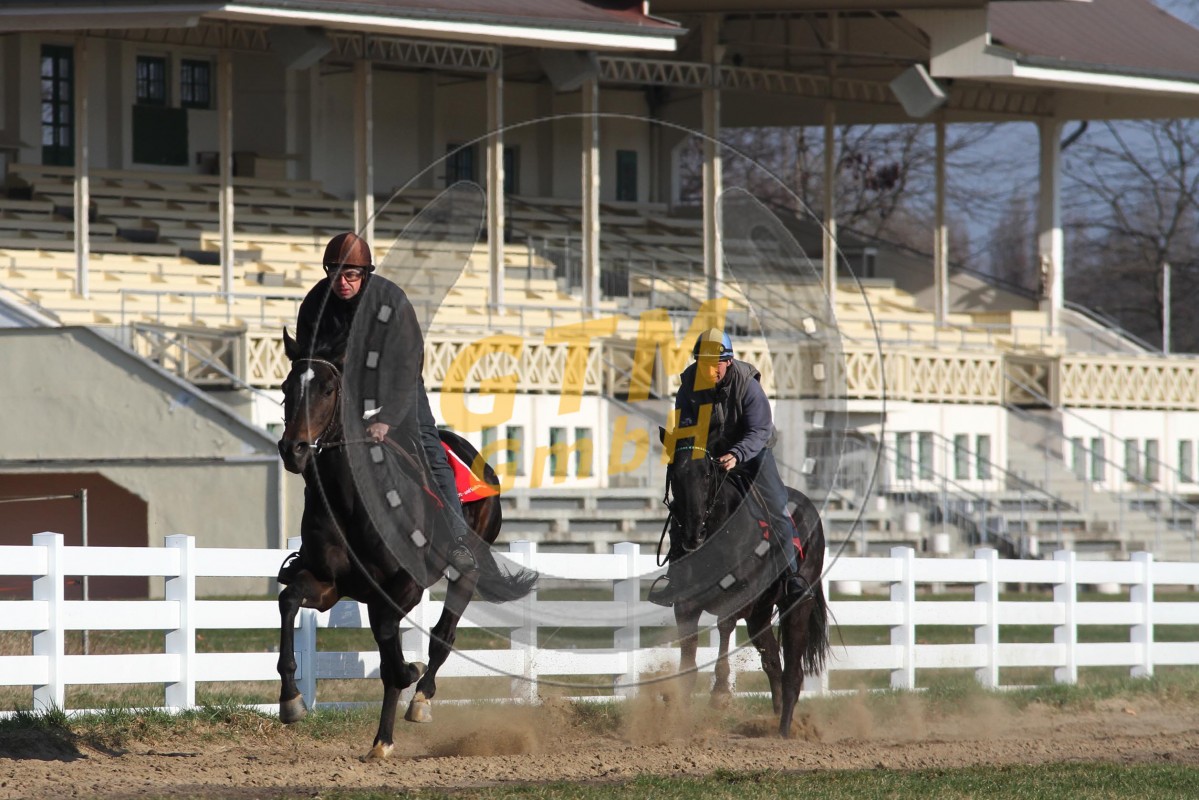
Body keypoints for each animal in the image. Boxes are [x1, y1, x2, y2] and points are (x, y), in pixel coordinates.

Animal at [275, 330, 537, 760]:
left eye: (328, 389)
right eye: (286, 388)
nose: (292, 449)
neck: (351, 502)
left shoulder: (404, 586)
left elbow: (392, 652)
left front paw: (407, 677)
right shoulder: (329, 584)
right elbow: (289, 600)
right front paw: (291, 700)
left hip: (466, 569)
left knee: (443, 635)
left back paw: (420, 700)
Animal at [661, 435, 829, 738]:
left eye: (707, 475)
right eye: (674, 475)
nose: (692, 535)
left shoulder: (738, 600)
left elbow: (724, 629)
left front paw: (719, 694)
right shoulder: (685, 605)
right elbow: (689, 655)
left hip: (796, 605)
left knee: (792, 672)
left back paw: (784, 729)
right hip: (759, 615)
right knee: (772, 662)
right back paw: (775, 719)